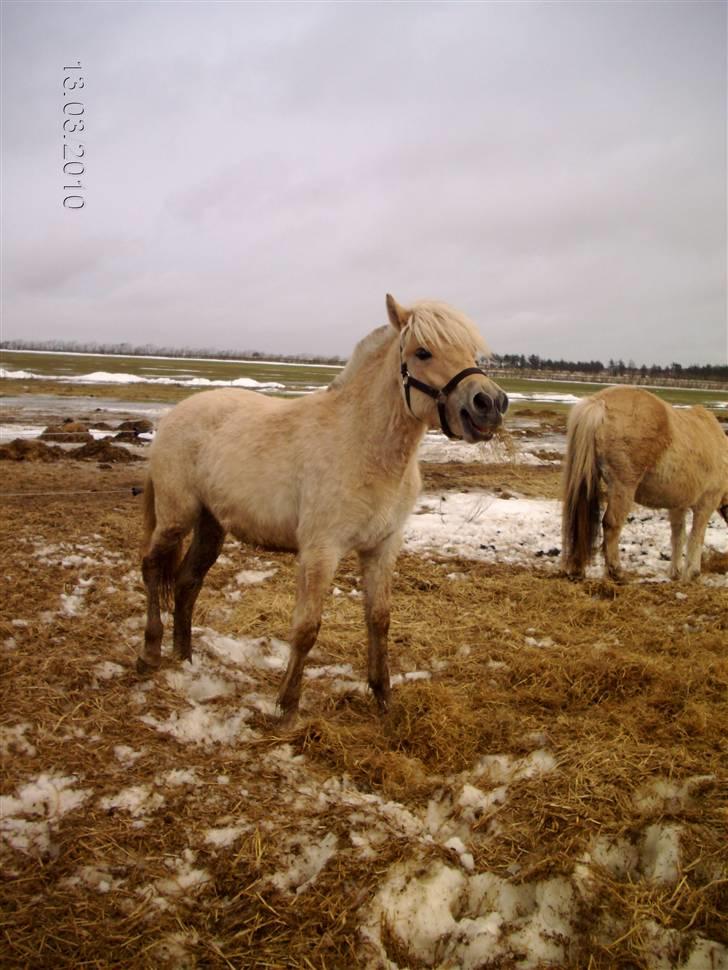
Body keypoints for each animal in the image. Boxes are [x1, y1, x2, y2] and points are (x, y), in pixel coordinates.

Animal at [136, 294, 506, 720]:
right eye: (423, 352)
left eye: (472, 351)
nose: (489, 404)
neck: (363, 445)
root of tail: (174, 415)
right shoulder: (321, 551)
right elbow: (307, 627)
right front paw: (286, 706)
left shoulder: (382, 548)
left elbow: (379, 619)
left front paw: (383, 697)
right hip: (176, 517)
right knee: (152, 568)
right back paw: (149, 654)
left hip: (212, 525)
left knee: (187, 582)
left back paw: (184, 658)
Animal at [564, 386, 728, 584]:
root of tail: (599, 403)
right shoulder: (706, 503)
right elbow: (697, 536)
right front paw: (692, 573)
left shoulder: (677, 506)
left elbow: (678, 536)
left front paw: (675, 572)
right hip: (623, 487)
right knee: (611, 524)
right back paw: (616, 572)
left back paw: (577, 570)